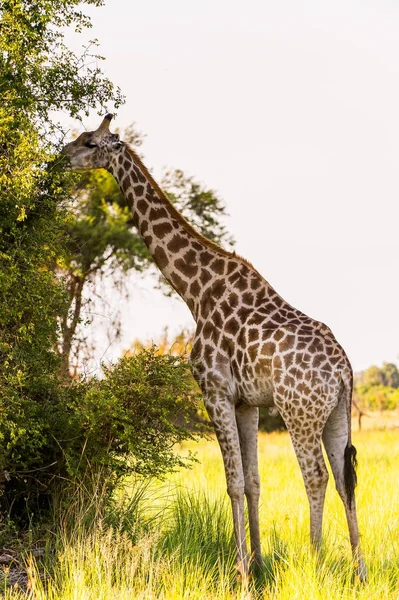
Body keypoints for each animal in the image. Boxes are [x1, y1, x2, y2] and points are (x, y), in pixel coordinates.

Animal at [61, 113, 368, 580]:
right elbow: (254, 482)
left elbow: (233, 483)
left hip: (299, 411)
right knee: (344, 478)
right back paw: (360, 572)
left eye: (90, 141)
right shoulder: (247, 402)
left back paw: (316, 565)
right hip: (336, 414)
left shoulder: (215, 391)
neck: (196, 291)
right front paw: (258, 565)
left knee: (315, 476)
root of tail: (344, 370)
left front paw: (240, 570)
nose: (59, 158)